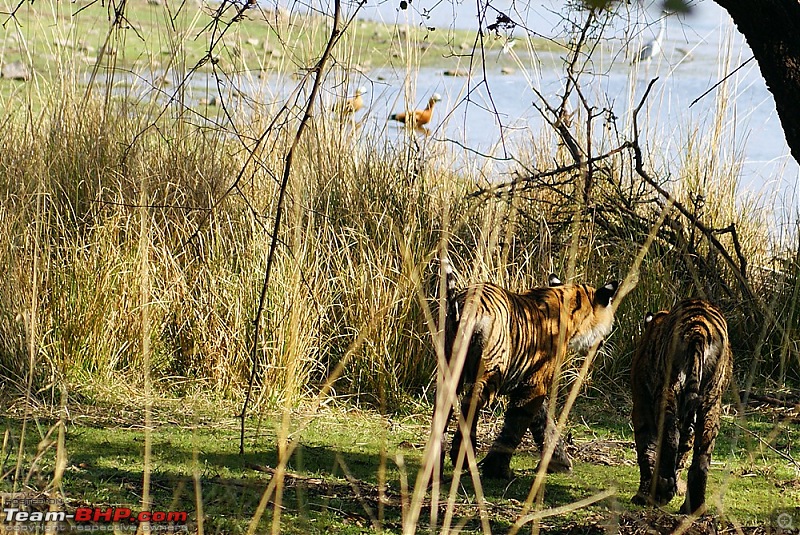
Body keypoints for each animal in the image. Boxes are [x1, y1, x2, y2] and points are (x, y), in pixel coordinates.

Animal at [438, 258, 620, 480]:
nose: (603, 342)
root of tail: (466, 303)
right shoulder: (536, 383)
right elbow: (516, 426)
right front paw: (497, 469)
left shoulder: (528, 381)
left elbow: (543, 422)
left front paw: (559, 462)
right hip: (491, 371)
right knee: (470, 404)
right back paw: (462, 457)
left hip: (450, 367)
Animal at [628, 302, 736, 516]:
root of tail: (698, 328)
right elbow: (683, 453)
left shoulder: (641, 405)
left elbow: (646, 451)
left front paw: (643, 495)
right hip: (710, 402)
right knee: (700, 458)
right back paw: (693, 507)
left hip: (668, 388)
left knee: (670, 437)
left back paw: (663, 491)